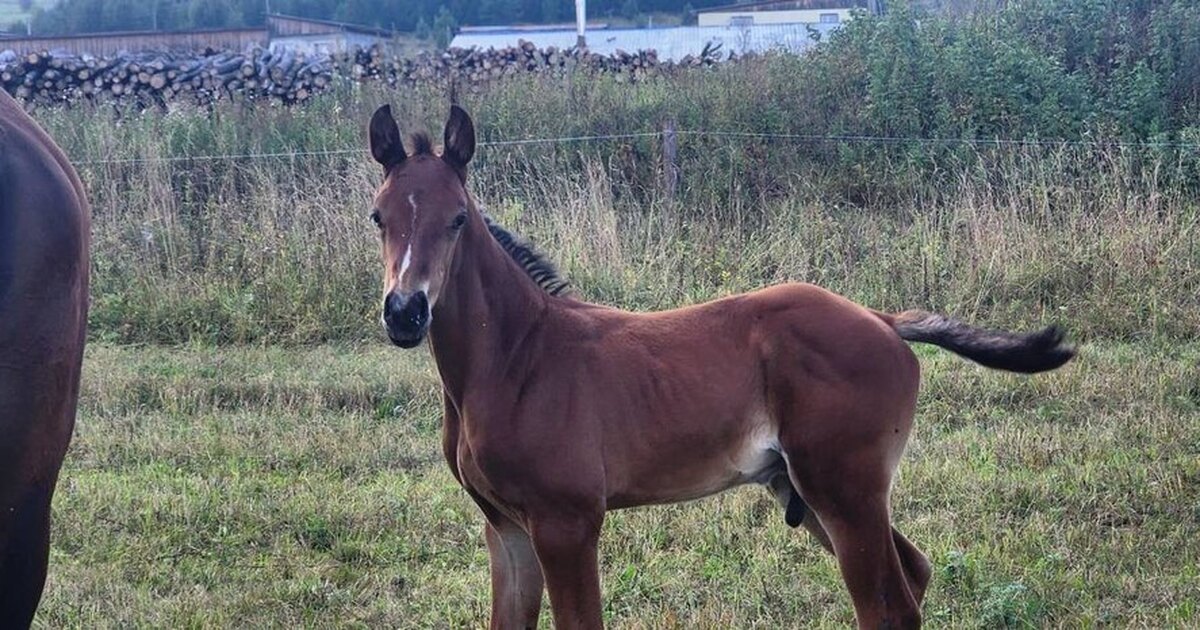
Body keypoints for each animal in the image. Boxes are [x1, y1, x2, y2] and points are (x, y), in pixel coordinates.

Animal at [365, 104, 1074, 629]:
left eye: (459, 219)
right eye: (378, 216)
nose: (404, 313)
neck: (516, 359)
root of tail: (881, 319)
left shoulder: (568, 524)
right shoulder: (505, 530)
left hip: (844, 487)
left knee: (889, 607)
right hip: (811, 490)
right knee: (916, 576)